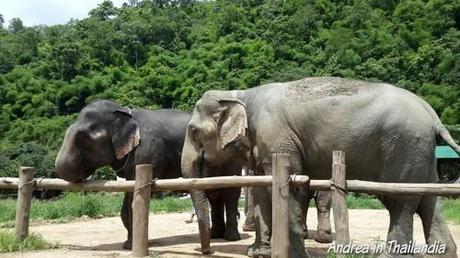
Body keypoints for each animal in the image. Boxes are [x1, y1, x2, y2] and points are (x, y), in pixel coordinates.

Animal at [54, 100, 243, 249]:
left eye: (84, 138)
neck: (126, 112)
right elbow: (127, 200)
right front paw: (127, 245)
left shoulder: (148, 152)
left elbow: (134, 201)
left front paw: (131, 246)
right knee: (214, 195)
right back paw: (215, 235)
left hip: (231, 160)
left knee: (230, 195)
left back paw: (231, 238)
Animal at [181, 77, 460, 258]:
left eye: (193, 131)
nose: (206, 251)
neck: (241, 95)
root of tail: (433, 115)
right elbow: (261, 190)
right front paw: (258, 253)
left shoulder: (279, 140)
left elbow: (288, 190)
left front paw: (290, 254)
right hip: (420, 151)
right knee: (429, 200)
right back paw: (442, 253)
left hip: (403, 146)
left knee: (400, 201)